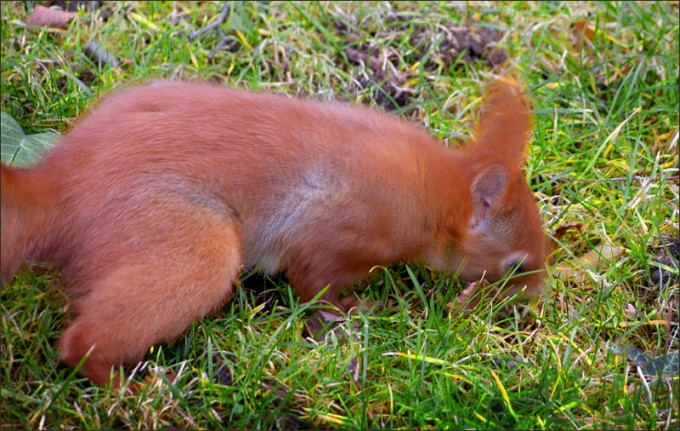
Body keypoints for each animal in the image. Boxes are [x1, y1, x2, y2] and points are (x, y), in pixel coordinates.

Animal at [1, 78, 548, 388]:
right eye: (516, 266)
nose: (538, 296)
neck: (430, 193)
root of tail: (61, 186)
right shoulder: (336, 228)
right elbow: (312, 282)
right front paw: (350, 312)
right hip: (190, 245)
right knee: (82, 342)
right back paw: (128, 391)